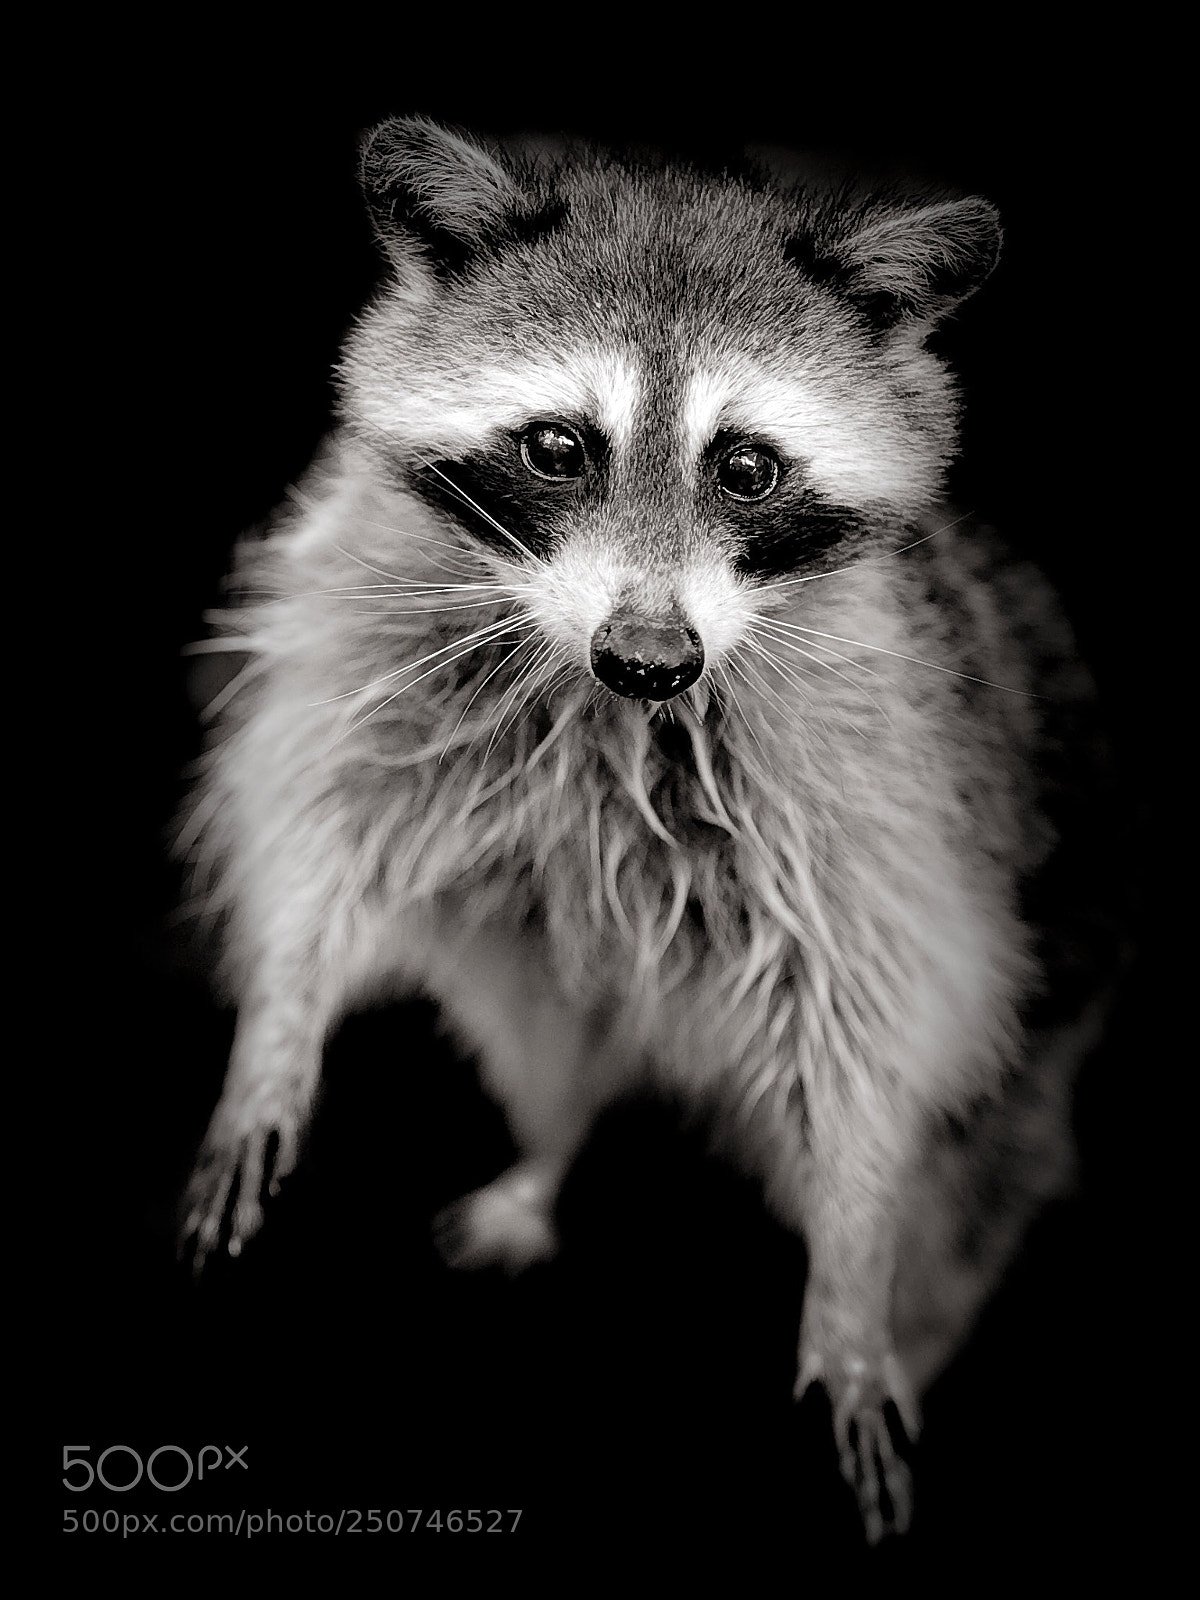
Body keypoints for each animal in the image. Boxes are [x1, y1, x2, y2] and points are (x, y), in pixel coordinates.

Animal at [178, 118, 1117, 1541]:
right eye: (560, 447)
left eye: (748, 465)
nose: (650, 660)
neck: (612, 703)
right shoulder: (369, 623)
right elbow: (321, 833)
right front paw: (277, 1036)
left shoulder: (879, 778)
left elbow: (871, 1012)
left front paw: (850, 1279)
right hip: (543, 980)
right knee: (551, 1046)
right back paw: (551, 1144)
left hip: (1021, 1079)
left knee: (955, 1217)